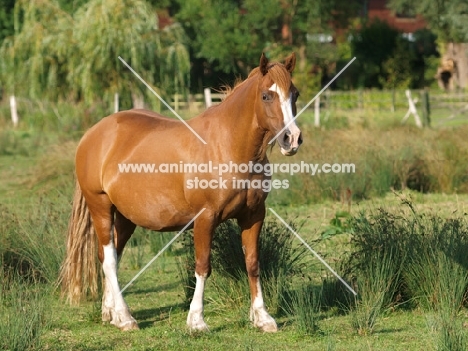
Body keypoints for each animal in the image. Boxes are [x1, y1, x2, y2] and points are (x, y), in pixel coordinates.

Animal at [59, 52, 304, 332]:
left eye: (295, 94)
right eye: (266, 95)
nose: (291, 139)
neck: (228, 146)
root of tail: (93, 134)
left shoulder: (253, 215)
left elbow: (252, 263)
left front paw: (262, 318)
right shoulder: (205, 218)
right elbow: (203, 266)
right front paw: (196, 320)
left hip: (125, 217)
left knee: (110, 256)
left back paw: (111, 313)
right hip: (100, 207)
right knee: (109, 259)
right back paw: (125, 317)